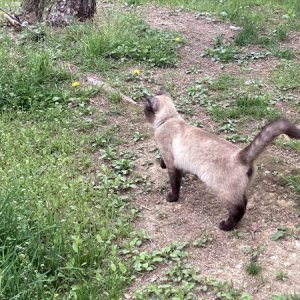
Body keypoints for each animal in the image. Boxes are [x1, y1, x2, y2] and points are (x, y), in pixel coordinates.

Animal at [144, 88, 298, 231]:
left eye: (145, 109)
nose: (143, 112)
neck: (168, 119)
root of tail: (241, 155)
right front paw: (161, 165)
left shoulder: (172, 164)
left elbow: (174, 184)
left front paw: (172, 198)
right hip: (238, 190)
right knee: (245, 201)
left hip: (222, 191)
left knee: (239, 209)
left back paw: (225, 226)